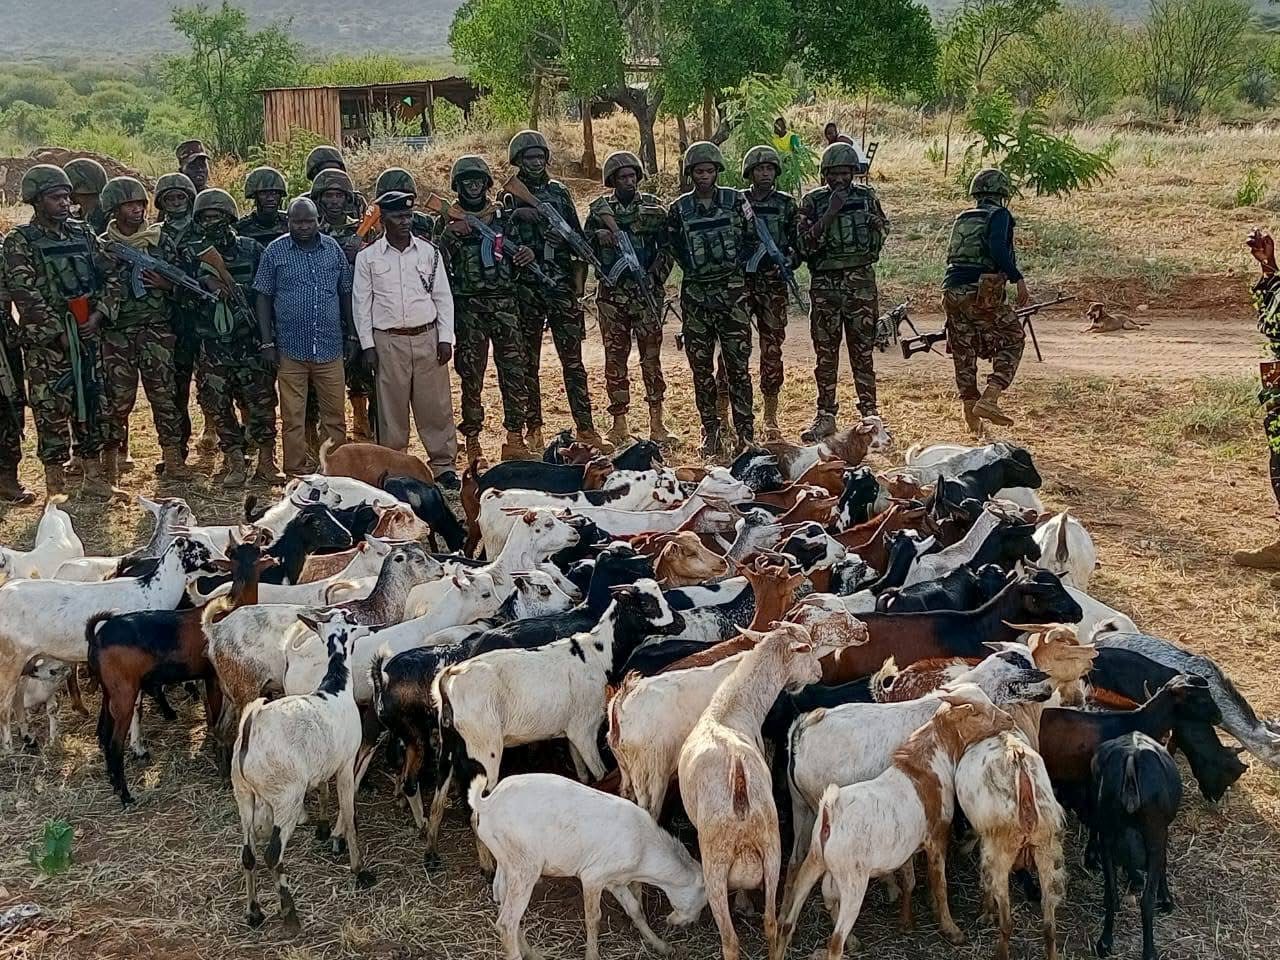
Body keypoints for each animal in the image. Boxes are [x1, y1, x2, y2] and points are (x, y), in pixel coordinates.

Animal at [232, 611, 376, 936]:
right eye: (353, 620)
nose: (372, 628)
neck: (335, 686)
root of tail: (251, 726)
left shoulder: (322, 767)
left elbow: (323, 792)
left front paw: (323, 829)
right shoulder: (345, 764)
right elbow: (348, 812)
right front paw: (359, 870)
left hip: (244, 796)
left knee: (248, 854)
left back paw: (254, 912)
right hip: (286, 797)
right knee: (273, 854)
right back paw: (290, 914)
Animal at [465, 773, 706, 960]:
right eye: (704, 903)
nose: (688, 922)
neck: (645, 850)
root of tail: (487, 802)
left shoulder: (615, 880)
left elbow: (635, 909)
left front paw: (661, 946)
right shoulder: (593, 876)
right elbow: (593, 917)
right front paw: (592, 954)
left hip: (506, 861)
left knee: (503, 905)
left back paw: (532, 953)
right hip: (525, 865)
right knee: (507, 922)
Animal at [675, 624, 814, 960]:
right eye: (809, 648)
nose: (818, 672)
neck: (727, 711)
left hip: (714, 864)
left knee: (730, 941)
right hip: (772, 850)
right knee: (771, 925)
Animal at [773, 686, 1013, 957]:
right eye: (977, 711)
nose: (1009, 719)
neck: (926, 763)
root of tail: (830, 811)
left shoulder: (906, 843)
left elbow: (909, 879)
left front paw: (906, 922)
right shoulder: (937, 836)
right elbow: (939, 885)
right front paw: (951, 929)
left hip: (811, 850)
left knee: (791, 912)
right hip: (853, 881)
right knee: (834, 935)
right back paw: (850, 940)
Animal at [1090, 732, 1177, 957]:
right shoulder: (1160, 838)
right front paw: (1166, 899)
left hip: (1107, 836)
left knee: (1112, 894)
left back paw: (1104, 943)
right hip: (1154, 836)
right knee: (1146, 901)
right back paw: (1149, 952)